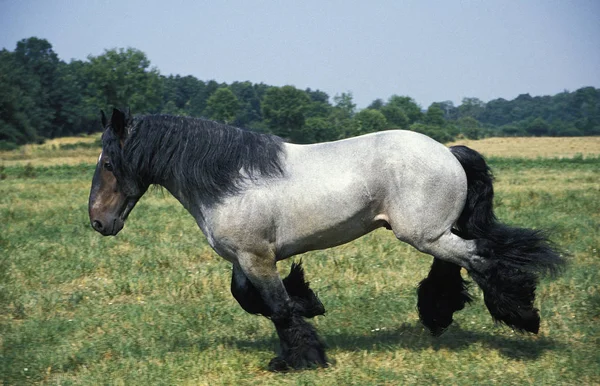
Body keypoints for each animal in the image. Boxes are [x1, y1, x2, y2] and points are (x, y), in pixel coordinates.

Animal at [88, 108, 564, 370]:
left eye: (109, 163)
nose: (98, 222)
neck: (230, 181)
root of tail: (448, 152)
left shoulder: (255, 256)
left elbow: (276, 308)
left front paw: (299, 359)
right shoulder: (247, 258)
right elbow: (250, 298)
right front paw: (310, 303)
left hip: (422, 234)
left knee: (479, 260)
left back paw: (523, 317)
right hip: (431, 233)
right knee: (457, 263)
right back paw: (439, 315)